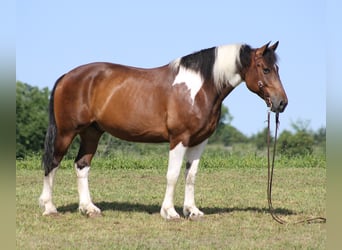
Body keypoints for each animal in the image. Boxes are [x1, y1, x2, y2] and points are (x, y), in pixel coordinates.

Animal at [38, 41, 288, 219]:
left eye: (277, 68)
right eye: (265, 69)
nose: (282, 103)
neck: (199, 87)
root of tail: (67, 76)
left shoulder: (200, 141)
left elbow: (190, 175)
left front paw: (192, 211)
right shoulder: (179, 138)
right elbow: (173, 174)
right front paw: (170, 212)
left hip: (91, 133)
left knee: (81, 166)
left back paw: (89, 208)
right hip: (66, 133)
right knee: (52, 164)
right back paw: (49, 208)